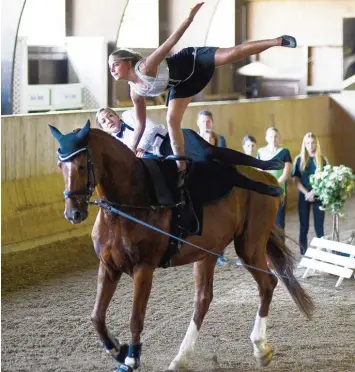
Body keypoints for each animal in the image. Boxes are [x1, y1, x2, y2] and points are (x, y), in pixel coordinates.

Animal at [49, 120, 314, 370]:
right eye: (61, 166)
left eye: (82, 165)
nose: (73, 213)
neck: (128, 205)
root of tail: (263, 177)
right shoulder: (108, 266)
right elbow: (96, 316)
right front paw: (117, 349)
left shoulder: (144, 268)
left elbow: (136, 317)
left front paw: (132, 357)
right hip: (208, 252)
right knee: (203, 299)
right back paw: (181, 358)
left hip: (249, 246)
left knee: (267, 283)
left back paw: (259, 348)